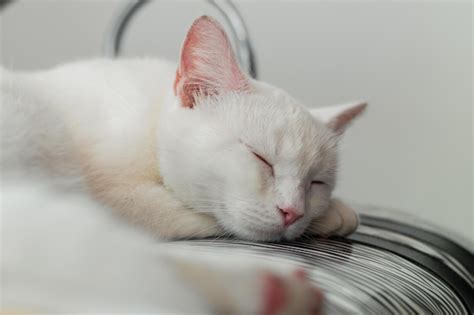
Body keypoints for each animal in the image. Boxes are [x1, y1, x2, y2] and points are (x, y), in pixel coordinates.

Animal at [0, 16, 366, 315]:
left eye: (316, 183)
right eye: (260, 157)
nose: (293, 212)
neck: (149, 120)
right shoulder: (118, 199)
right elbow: (201, 217)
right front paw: (333, 214)